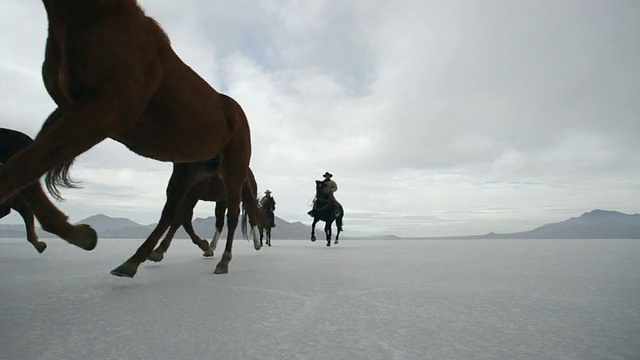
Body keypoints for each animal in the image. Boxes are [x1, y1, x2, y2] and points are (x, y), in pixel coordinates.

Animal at [0, 0, 256, 278]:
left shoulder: (104, 111)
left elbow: (19, 168)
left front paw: (78, 234)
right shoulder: (69, 109)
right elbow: (25, 167)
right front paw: (78, 233)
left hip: (233, 170)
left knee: (230, 215)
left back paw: (223, 260)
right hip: (187, 171)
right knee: (171, 213)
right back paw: (135, 260)